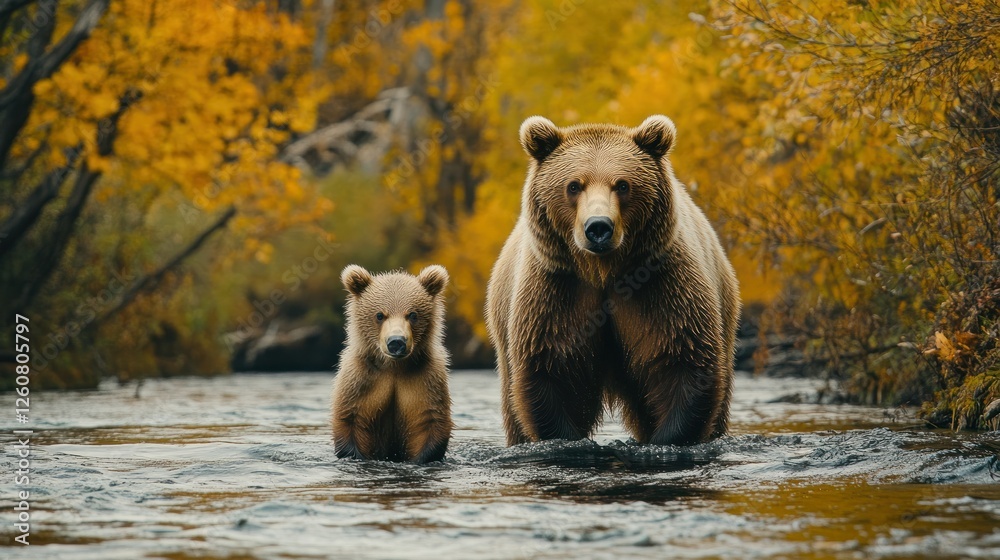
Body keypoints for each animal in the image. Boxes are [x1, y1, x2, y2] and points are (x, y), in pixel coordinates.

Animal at [331, 264, 453, 463]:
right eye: (380, 315)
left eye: (412, 314)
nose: (396, 342)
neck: (394, 367)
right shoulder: (361, 379)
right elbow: (350, 418)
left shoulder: (426, 379)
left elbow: (429, 420)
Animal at [485, 114, 740, 447]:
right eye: (573, 185)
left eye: (622, 184)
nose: (598, 227)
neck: (603, 270)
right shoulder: (557, 290)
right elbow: (550, 370)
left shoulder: (662, 285)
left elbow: (683, 359)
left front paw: (666, 437)